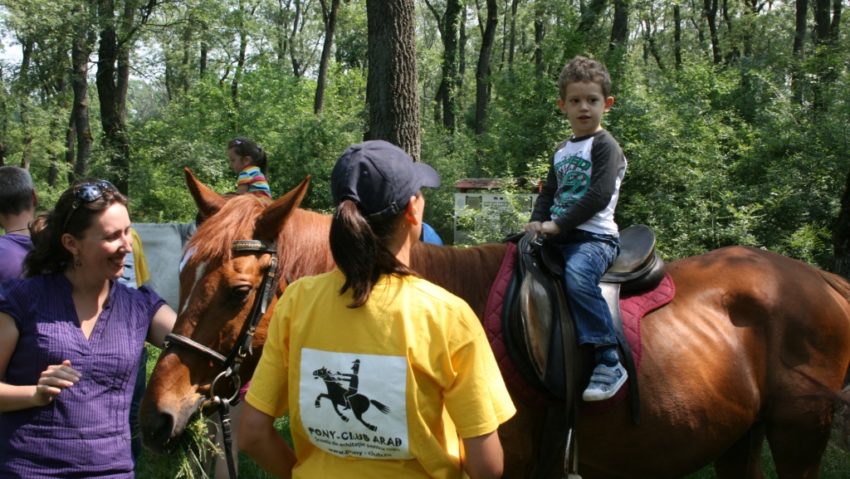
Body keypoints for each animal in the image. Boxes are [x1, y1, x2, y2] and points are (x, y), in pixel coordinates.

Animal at [142, 171, 848, 478]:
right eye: (181, 273)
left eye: (238, 292)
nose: (156, 416)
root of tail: (822, 279)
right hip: (739, 439)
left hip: (798, 434)